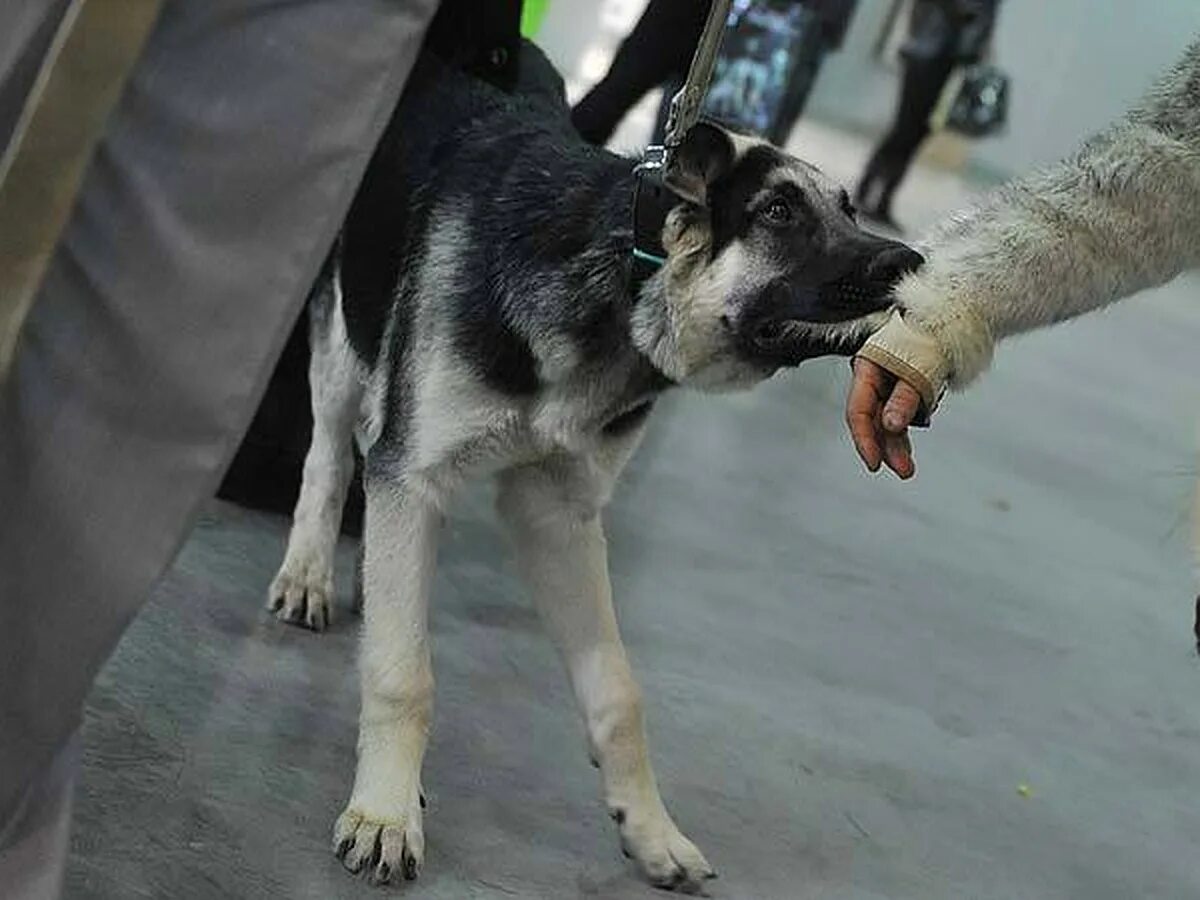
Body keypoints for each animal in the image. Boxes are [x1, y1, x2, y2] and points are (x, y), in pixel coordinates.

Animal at [265, 45, 916, 892]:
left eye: (848, 209)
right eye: (778, 212)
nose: (912, 259)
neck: (624, 274)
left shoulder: (559, 518)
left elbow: (618, 690)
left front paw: (649, 826)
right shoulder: (418, 478)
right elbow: (404, 673)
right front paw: (384, 811)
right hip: (347, 330)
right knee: (330, 452)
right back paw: (309, 570)